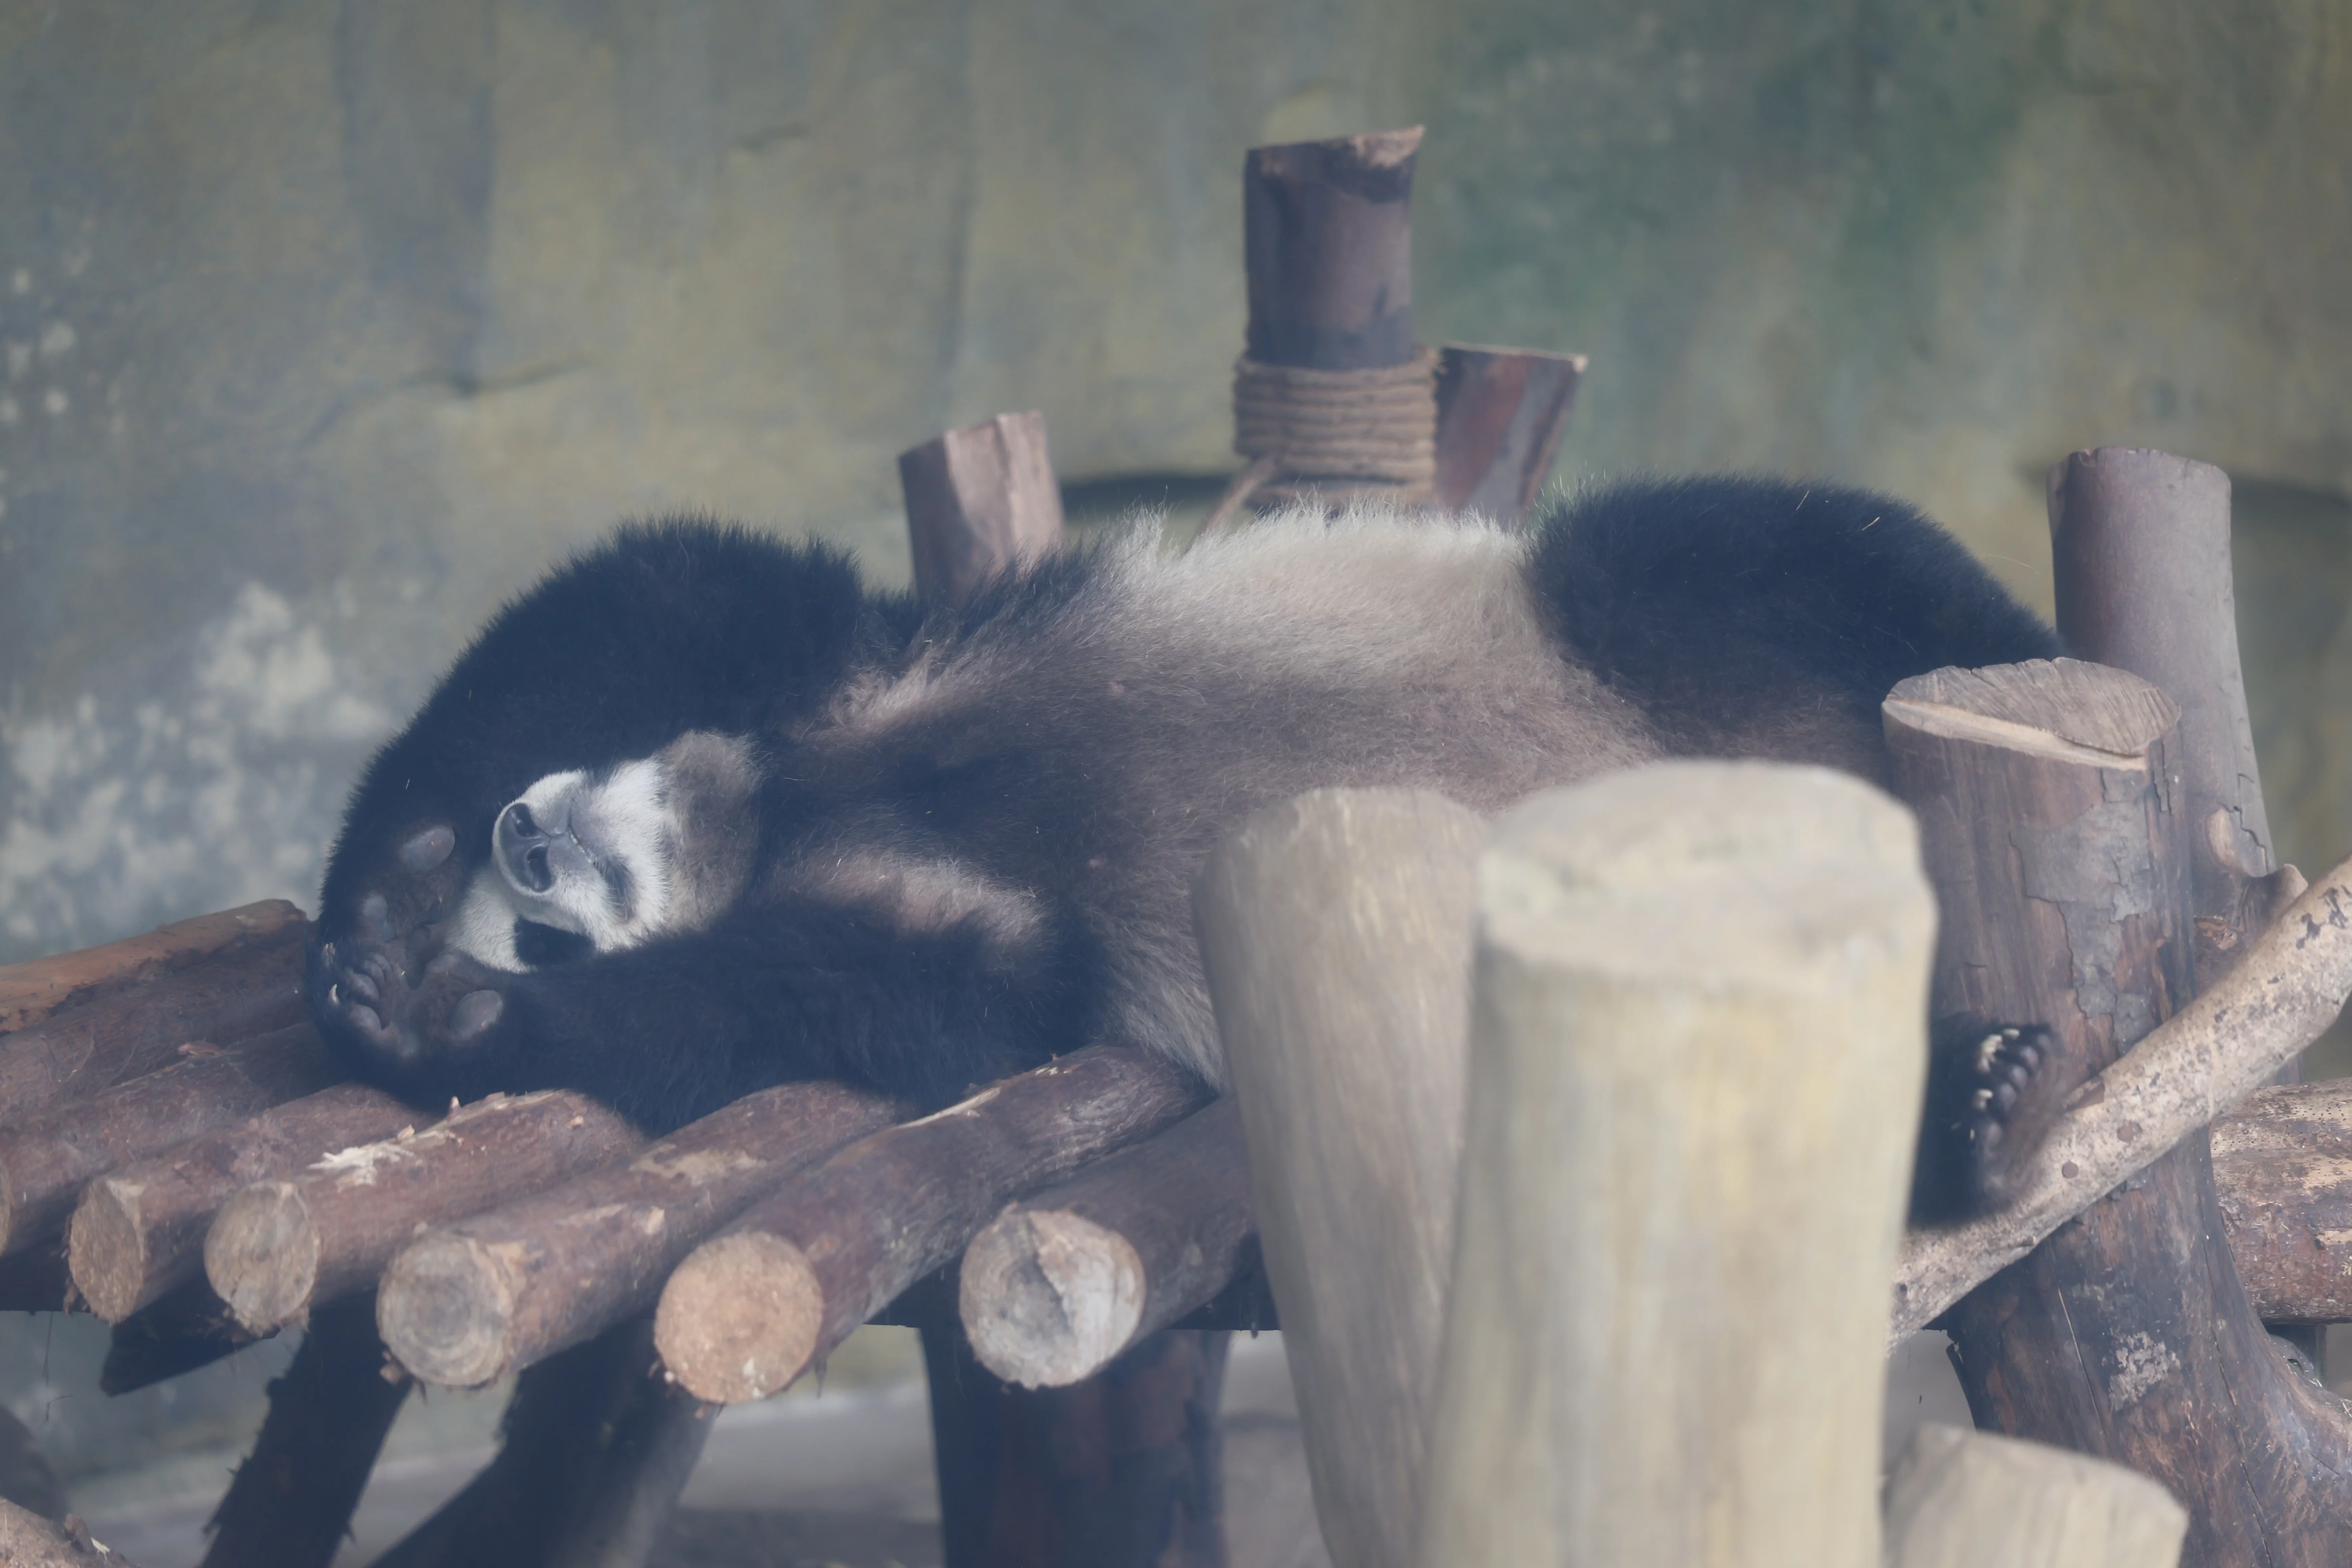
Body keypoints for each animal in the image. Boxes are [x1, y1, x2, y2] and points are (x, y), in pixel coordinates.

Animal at [308, 476, 2065, 1222]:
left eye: (542, 912)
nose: (531, 834)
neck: (780, 807)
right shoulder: (965, 925)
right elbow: (872, 1004)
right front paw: (419, 980)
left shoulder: (846, 666)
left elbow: (652, 589)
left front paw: (391, 948)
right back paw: (1979, 1103)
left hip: (1608, 630)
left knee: (1758, 553)